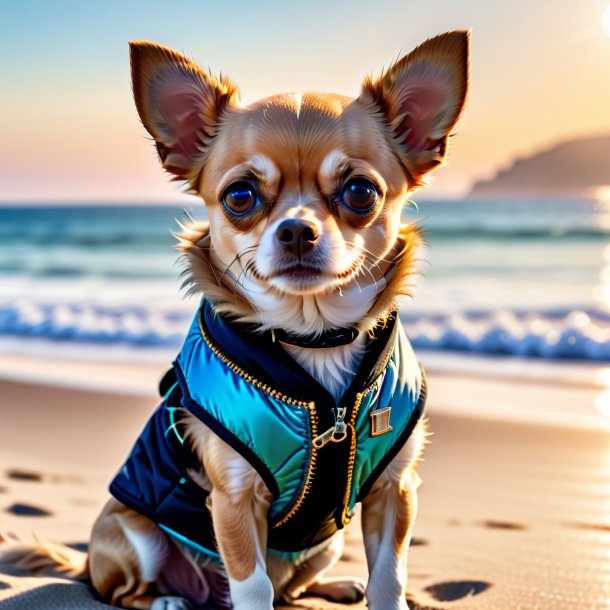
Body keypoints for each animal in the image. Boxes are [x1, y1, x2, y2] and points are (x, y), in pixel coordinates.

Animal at [0, 30, 468, 604]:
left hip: (326, 544)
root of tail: (88, 562)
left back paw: (336, 586)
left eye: (361, 192)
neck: (313, 338)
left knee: (291, 589)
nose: (296, 230)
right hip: (133, 535)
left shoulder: (394, 490)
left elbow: (389, 576)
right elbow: (251, 587)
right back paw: (168, 599)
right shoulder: (232, 499)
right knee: (124, 590)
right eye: (239, 196)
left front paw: (384, 594)